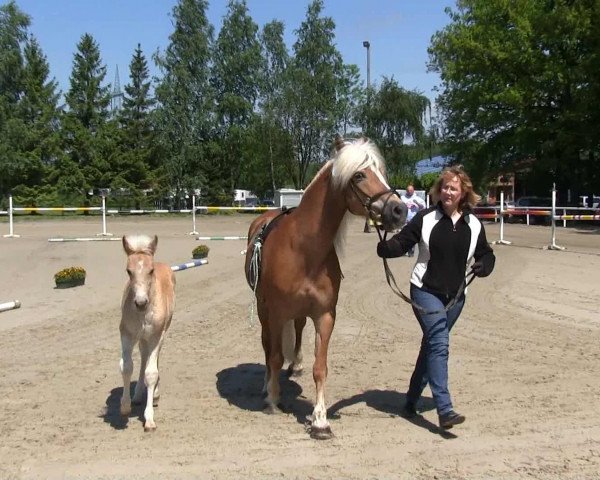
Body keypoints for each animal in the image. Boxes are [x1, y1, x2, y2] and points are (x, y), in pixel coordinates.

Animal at [119, 234, 176, 434]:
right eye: (128, 271)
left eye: (150, 271)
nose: (141, 302)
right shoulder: (127, 335)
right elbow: (127, 366)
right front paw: (125, 406)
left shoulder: (155, 337)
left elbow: (151, 373)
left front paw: (149, 419)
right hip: (142, 338)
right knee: (144, 357)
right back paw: (137, 395)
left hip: (161, 334)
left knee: (154, 360)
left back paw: (156, 395)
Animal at [245, 136, 408, 438]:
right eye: (359, 175)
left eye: (381, 172)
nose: (399, 210)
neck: (303, 249)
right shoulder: (276, 314)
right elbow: (274, 356)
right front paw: (273, 399)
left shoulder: (324, 316)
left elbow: (320, 368)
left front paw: (320, 421)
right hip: (263, 311)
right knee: (267, 346)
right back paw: (266, 386)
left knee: (297, 333)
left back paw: (295, 366)